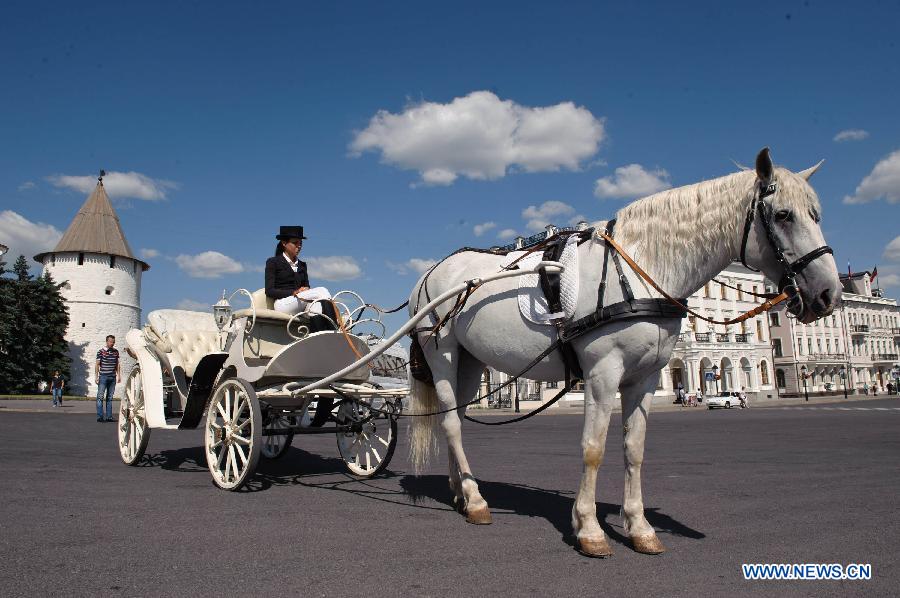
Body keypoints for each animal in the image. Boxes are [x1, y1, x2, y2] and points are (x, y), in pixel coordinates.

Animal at [408, 149, 844, 556]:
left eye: (816, 214)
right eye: (784, 215)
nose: (829, 293)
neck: (639, 270)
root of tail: (429, 273)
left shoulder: (645, 377)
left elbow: (634, 449)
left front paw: (640, 528)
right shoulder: (602, 374)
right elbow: (593, 448)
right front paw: (589, 530)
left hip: (471, 362)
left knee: (453, 419)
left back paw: (461, 491)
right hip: (443, 355)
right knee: (451, 423)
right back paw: (476, 502)